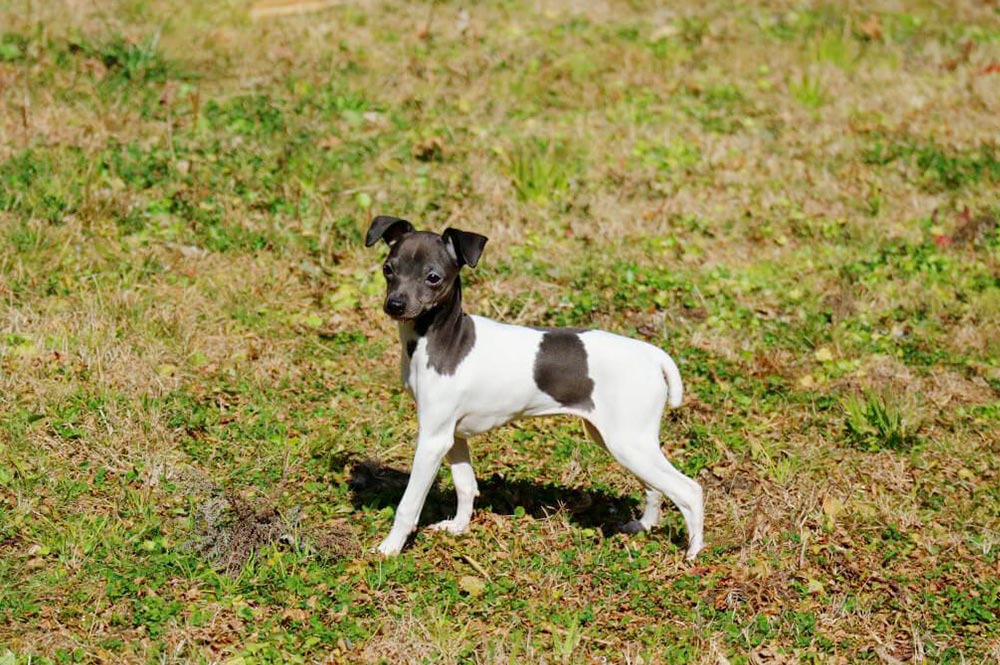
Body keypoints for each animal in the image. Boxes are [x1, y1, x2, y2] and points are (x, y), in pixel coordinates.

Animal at [366, 215, 704, 556]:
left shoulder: (432, 440)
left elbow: (409, 504)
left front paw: (389, 549)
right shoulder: (452, 434)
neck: (443, 341)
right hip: (622, 442)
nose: (395, 304)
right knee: (656, 488)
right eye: (388, 269)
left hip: (629, 443)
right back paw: (643, 527)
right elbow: (466, 484)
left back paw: (692, 553)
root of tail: (653, 355)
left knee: (689, 490)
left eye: (433, 277)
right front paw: (458, 528)